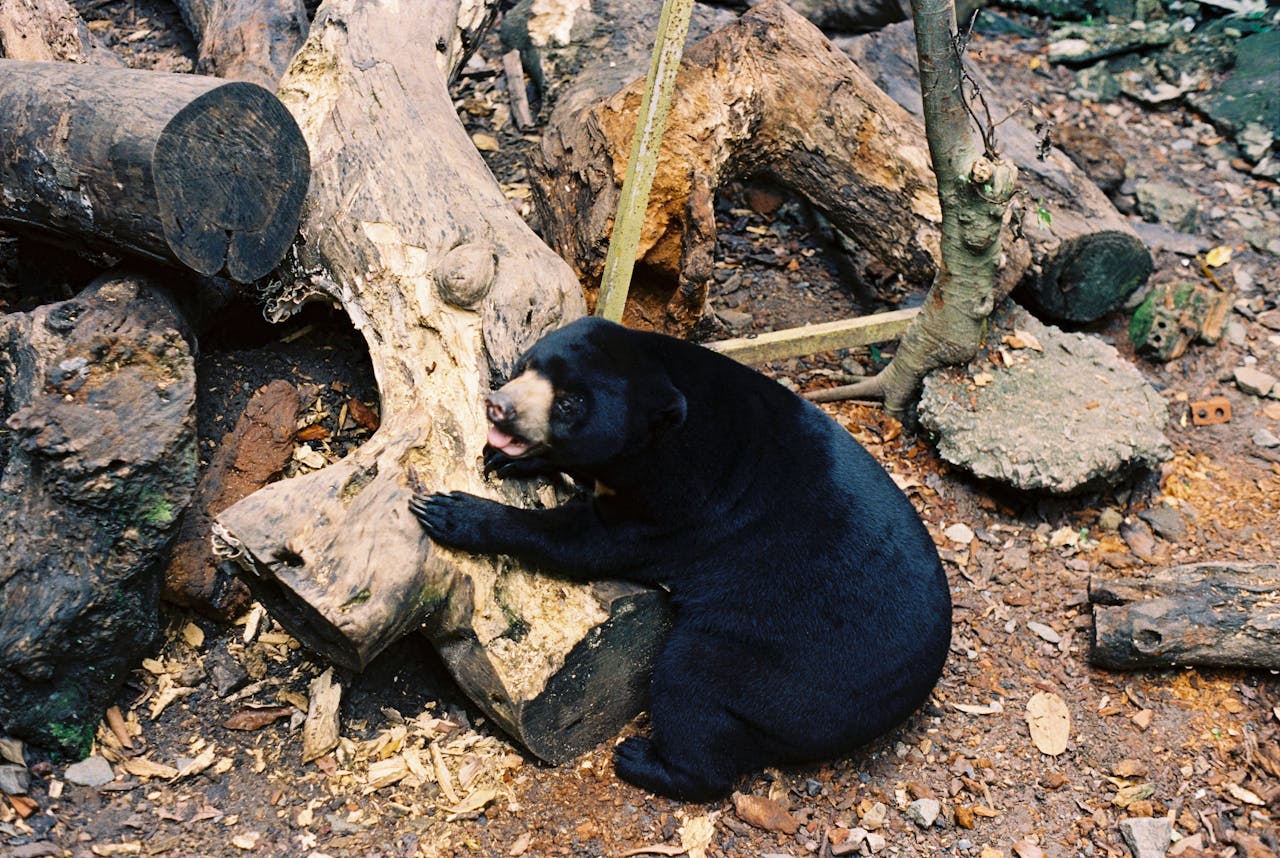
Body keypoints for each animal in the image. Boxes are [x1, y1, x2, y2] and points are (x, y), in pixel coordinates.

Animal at [409, 318, 952, 804]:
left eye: (569, 404)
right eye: (528, 366)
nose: (498, 408)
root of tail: (905, 700)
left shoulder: (685, 505)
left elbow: (587, 544)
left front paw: (452, 512)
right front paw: (507, 458)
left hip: (783, 671)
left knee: (692, 686)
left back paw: (643, 761)